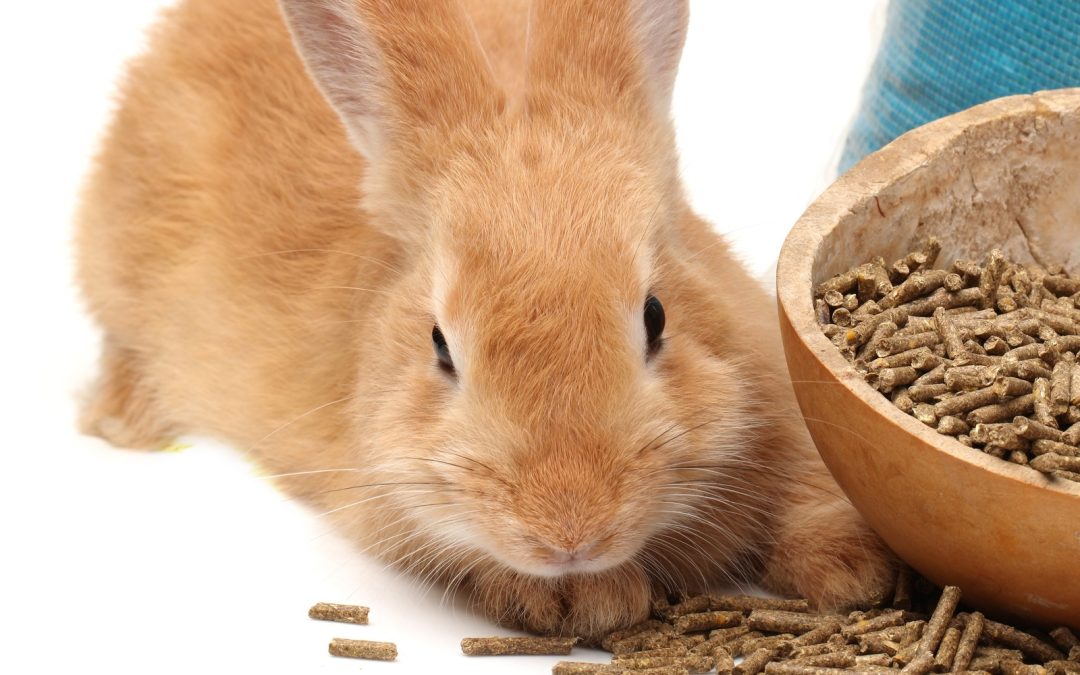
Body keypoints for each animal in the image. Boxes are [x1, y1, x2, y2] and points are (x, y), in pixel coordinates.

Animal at [76, 0, 896, 640]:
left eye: (656, 316)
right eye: (440, 345)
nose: (569, 533)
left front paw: (850, 574)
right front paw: (588, 600)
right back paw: (121, 418)